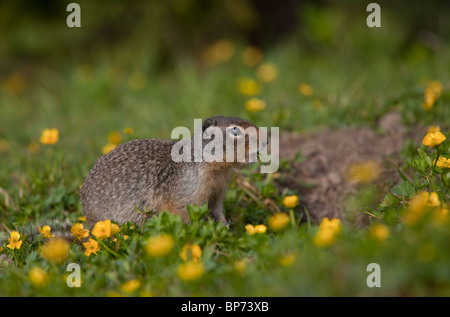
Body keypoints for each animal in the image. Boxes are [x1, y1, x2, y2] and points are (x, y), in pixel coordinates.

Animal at [80, 115, 264, 226]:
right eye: (235, 130)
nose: (266, 139)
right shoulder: (188, 193)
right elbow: (186, 214)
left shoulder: (217, 192)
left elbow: (217, 211)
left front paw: (225, 228)